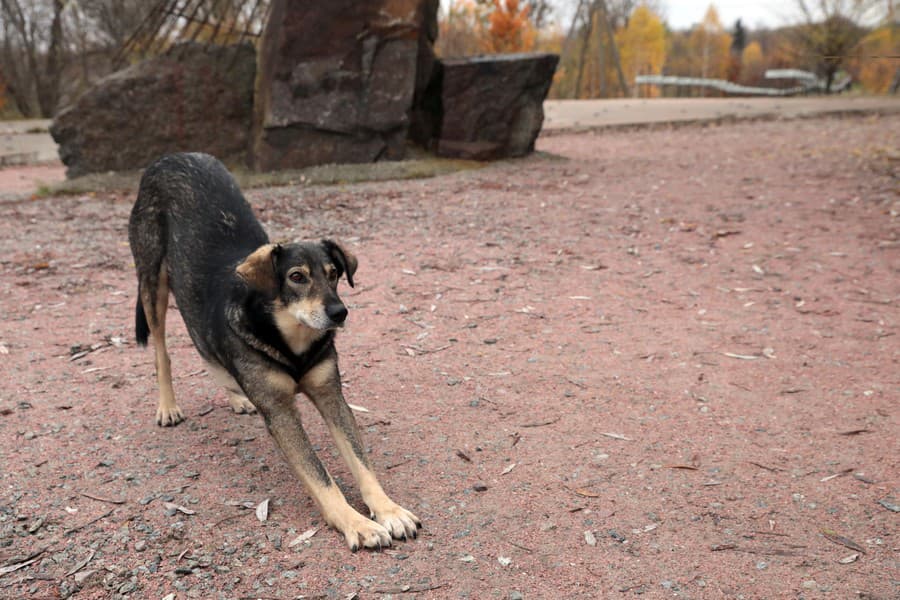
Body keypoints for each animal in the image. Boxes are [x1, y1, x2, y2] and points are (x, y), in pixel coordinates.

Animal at [127, 154, 422, 548]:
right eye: (297, 277)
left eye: (334, 273)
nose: (339, 313)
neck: (291, 343)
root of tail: (171, 157)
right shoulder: (281, 413)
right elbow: (320, 474)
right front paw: (355, 522)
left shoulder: (331, 396)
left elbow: (361, 461)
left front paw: (388, 510)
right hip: (152, 282)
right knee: (164, 351)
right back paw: (168, 406)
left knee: (204, 342)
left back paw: (237, 395)